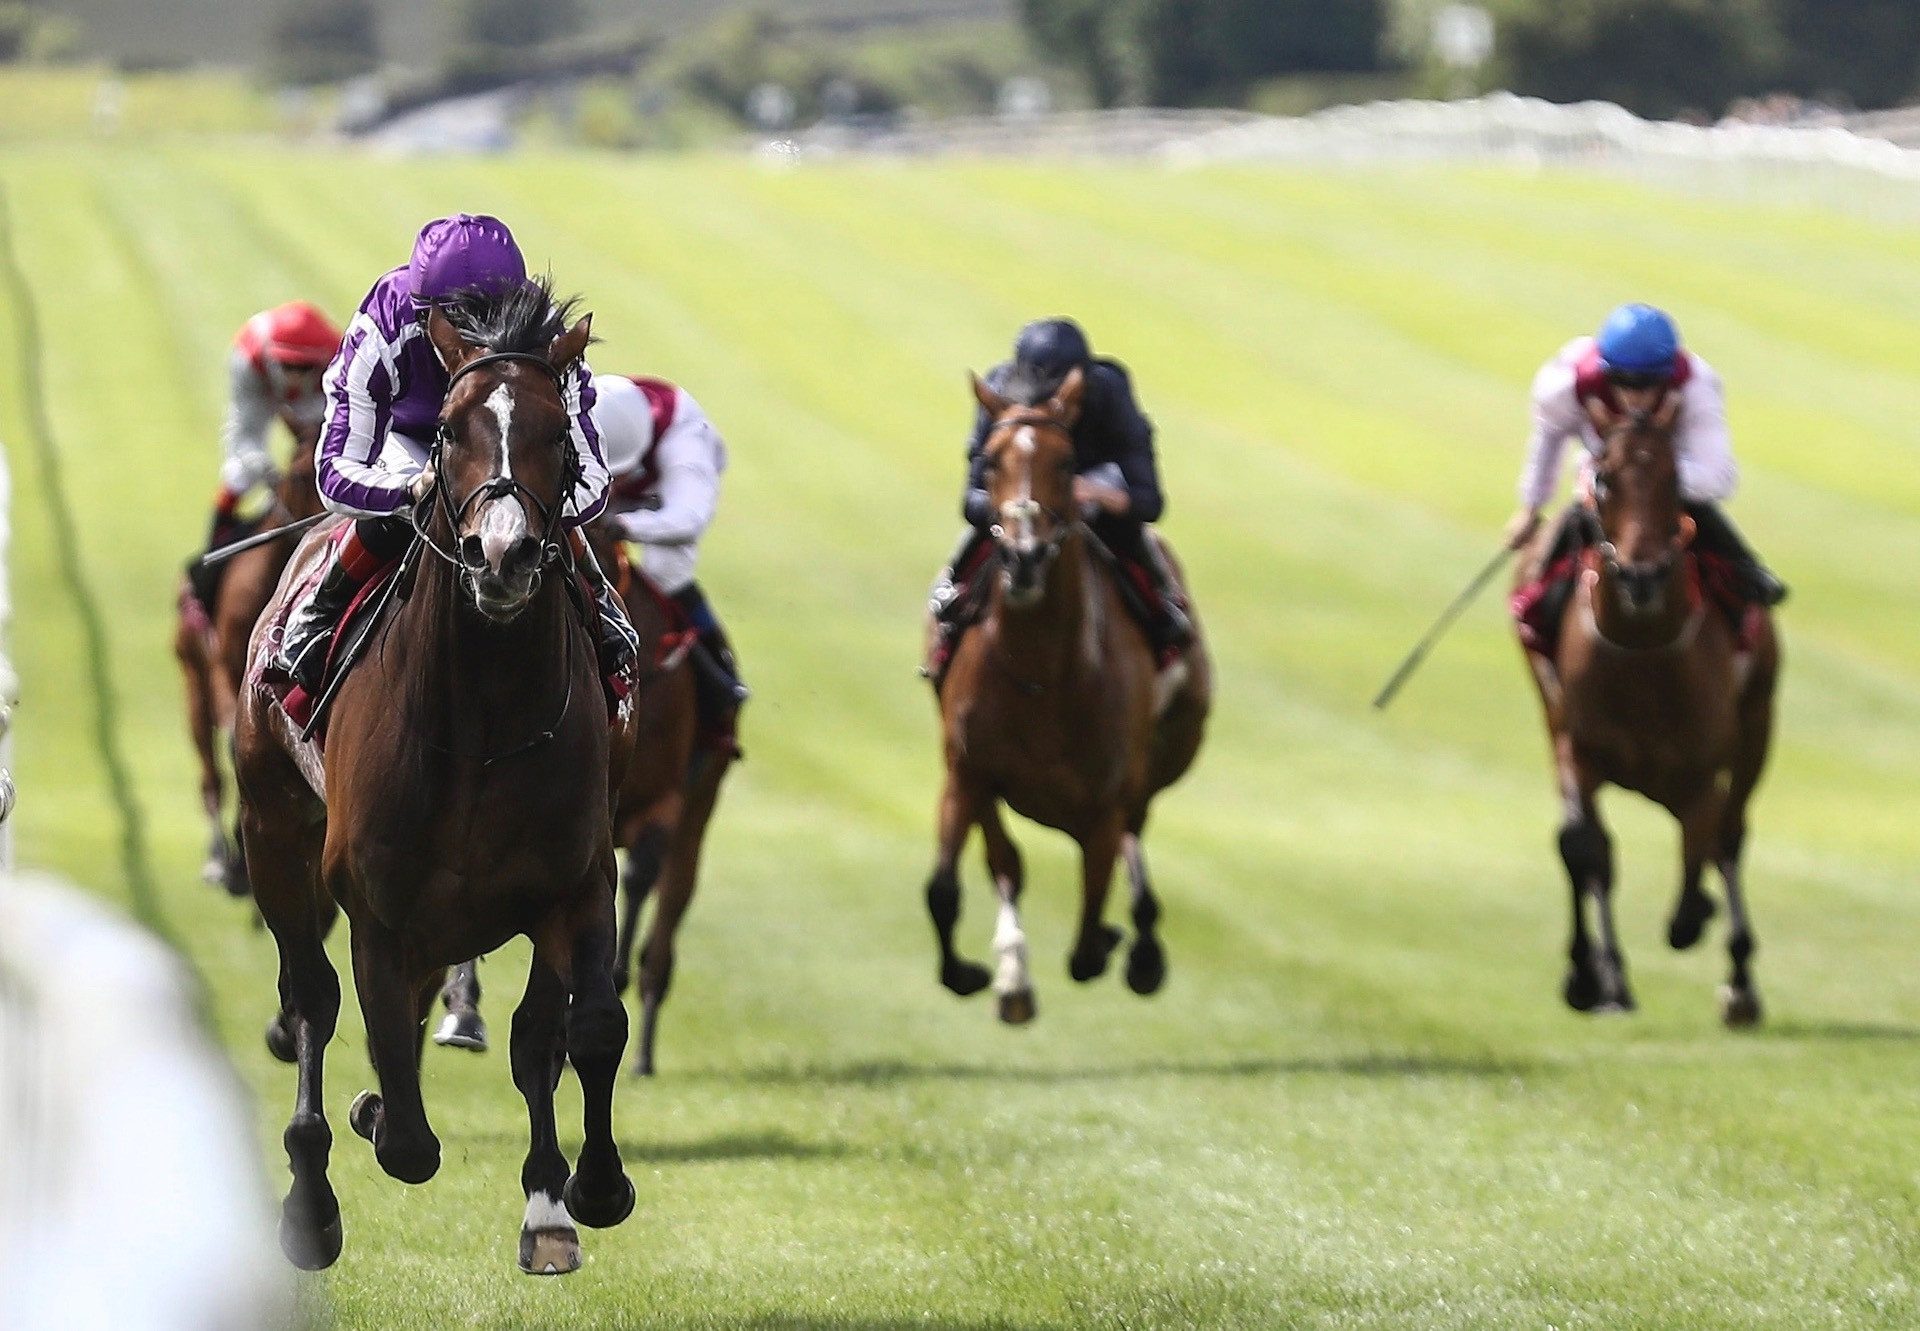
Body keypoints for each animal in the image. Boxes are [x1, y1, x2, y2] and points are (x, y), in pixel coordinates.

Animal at [176, 430, 322, 891]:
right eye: (298, 474)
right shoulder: (227, 671)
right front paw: (238, 860)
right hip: (194, 683)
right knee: (210, 774)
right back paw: (218, 856)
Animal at [234, 286, 637, 1275]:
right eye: (451, 430)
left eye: (561, 434)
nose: (503, 555)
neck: (483, 722)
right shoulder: (378, 906)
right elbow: (406, 1126)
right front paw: (375, 1122)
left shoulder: (577, 879)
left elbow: (583, 1028)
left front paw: (585, 1192)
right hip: (273, 832)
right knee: (312, 999)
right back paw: (312, 1199)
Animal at [439, 526, 737, 1075]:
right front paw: (463, 1010)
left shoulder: (660, 804)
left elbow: (639, 878)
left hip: (700, 806)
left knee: (668, 914)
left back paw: (641, 1049)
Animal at [921, 368, 1205, 1021]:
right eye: (989, 459)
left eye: (1067, 460)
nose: (1023, 556)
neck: (1043, 672)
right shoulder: (968, 771)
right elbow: (948, 887)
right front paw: (976, 972)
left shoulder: (1107, 802)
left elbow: (1088, 938)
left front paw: (1117, 942)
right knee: (1006, 862)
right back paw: (1015, 972)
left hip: (1161, 761)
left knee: (1131, 840)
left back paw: (1139, 945)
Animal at [1512, 393, 1781, 1029]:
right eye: (1604, 479)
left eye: (1675, 480)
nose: (1641, 575)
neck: (1642, 654)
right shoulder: (1577, 748)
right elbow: (1583, 846)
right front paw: (1594, 978)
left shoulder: (1701, 767)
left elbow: (1703, 840)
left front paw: (1695, 919)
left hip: (1758, 722)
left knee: (1730, 833)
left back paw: (1739, 981)